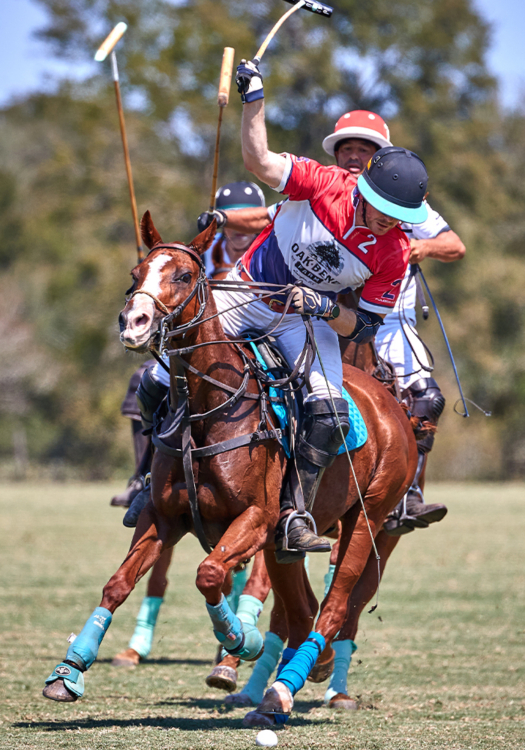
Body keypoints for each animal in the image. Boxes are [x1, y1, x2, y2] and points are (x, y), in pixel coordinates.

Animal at [43, 210, 416, 724]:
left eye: (183, 275)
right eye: (135, 274)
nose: (133, 323)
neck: (208, 408)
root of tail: (391, 403)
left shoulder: (255, 519)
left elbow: (210, 574)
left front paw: (238, 641)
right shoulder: (163, 517)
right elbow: (118, 583)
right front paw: (68, 672)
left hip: (367, 518)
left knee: (336, 605)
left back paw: (283, 688)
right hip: (285, 546)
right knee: (302, 609)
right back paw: (292, 681)